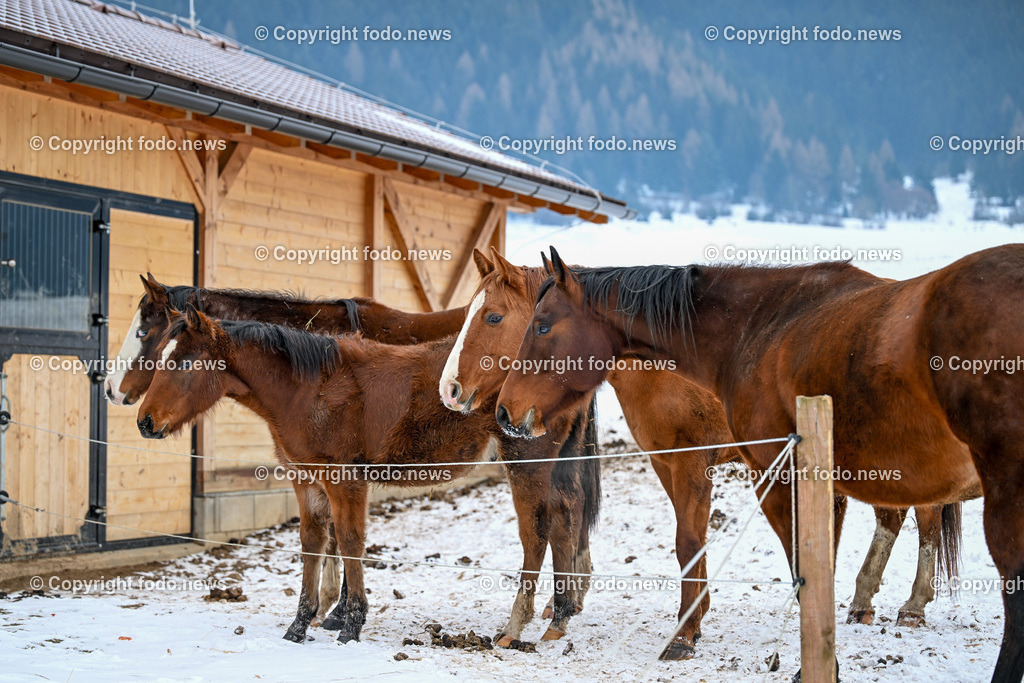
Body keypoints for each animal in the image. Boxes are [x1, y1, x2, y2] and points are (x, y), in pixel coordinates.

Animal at [111, 277, 597, 646]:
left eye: (180, 360)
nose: (144, 421)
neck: (309, 386)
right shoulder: (306, 479)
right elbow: (313, 541)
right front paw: (300, 624)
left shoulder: (346, 480)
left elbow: (348, 542)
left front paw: (349, 622)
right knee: (566, 516)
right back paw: (560, 614)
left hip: (526, 459)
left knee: (536, 531)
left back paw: (515, 626)